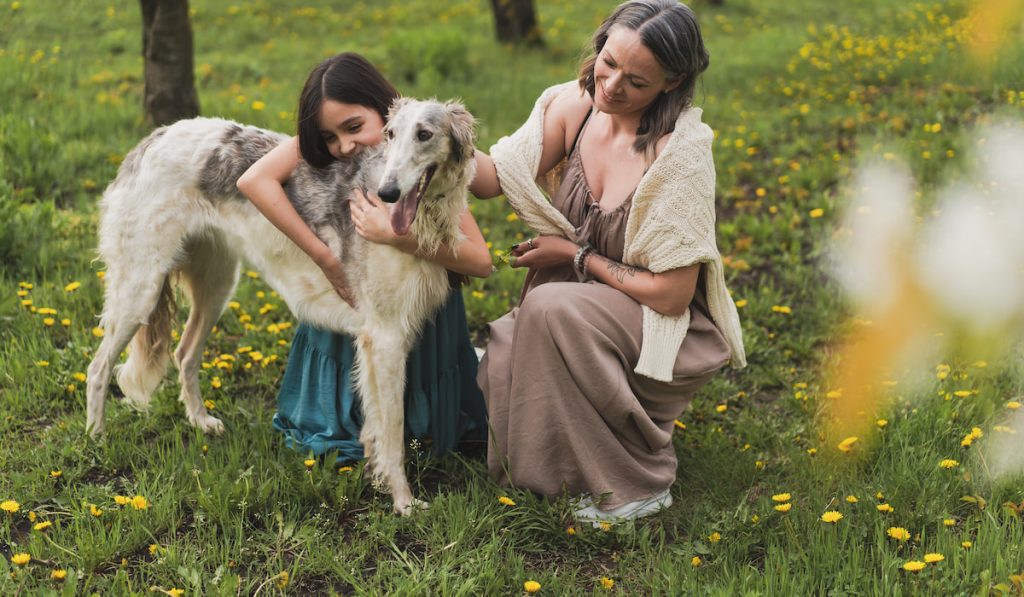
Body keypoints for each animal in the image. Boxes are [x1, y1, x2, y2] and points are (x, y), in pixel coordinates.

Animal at [83, 98, 475, 514]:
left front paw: (375, 474)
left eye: (425, 134)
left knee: (184, 353)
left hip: (217, 285)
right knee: (98, 368)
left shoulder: (380, 341)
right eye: (390, 134)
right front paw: (403, 502)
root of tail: (152, 138)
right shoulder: (385, 337)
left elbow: (375, 426)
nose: (387, 193)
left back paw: (201, 422)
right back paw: (96, 438)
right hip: (140, 289)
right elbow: (394, 431)